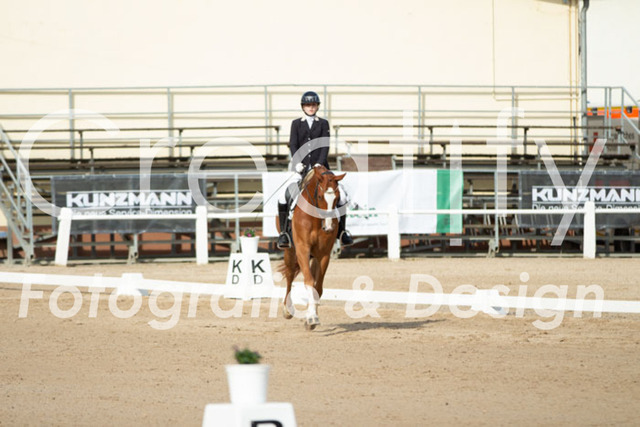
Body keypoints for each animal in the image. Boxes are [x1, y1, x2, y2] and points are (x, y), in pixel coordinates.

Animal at [277, 165, 345, 330]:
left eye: (337, 198)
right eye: (320, 197)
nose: (328, 228)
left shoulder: (324, 254)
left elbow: (317, 286)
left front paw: (311, 317)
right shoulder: (302, 249)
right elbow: (308, 281)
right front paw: (311, 317)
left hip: (314, 257)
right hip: (290, 252)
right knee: (289, 275)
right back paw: (287, 310)